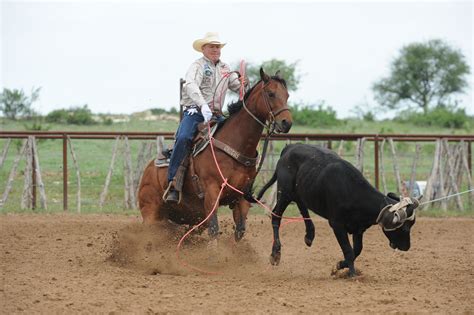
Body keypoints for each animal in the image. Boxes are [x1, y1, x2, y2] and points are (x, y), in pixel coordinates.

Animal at [137, 68, 292, 242]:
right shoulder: (211, 195)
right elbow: (214, 231)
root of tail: (148, 169)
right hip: (151, 214)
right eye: (271, 93)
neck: (236, 146)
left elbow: (240, 231)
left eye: (287, 95)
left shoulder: (241, 198)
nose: (287, 123)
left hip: (192, 217)